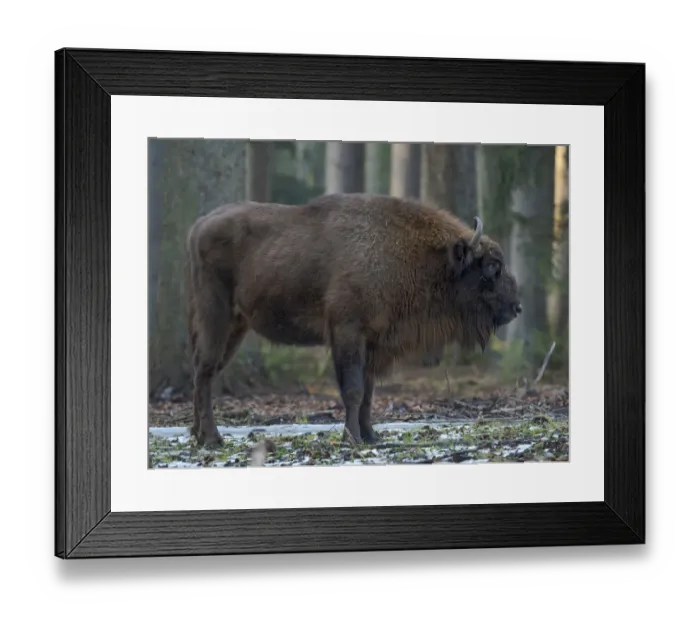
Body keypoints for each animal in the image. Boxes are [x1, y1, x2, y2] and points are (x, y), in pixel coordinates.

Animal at [186, 193, 522, 448]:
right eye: (492, 267)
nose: (517, 307)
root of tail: (199, 225)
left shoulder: (373, 342)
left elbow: (369, 393)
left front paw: (371, 436)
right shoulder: (347, 332)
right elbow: (353, 390)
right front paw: (353, 439)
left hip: (236, 326)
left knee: (205, 371)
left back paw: (199, 436)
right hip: (217, 316)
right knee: (205, 371)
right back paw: (213, 439)